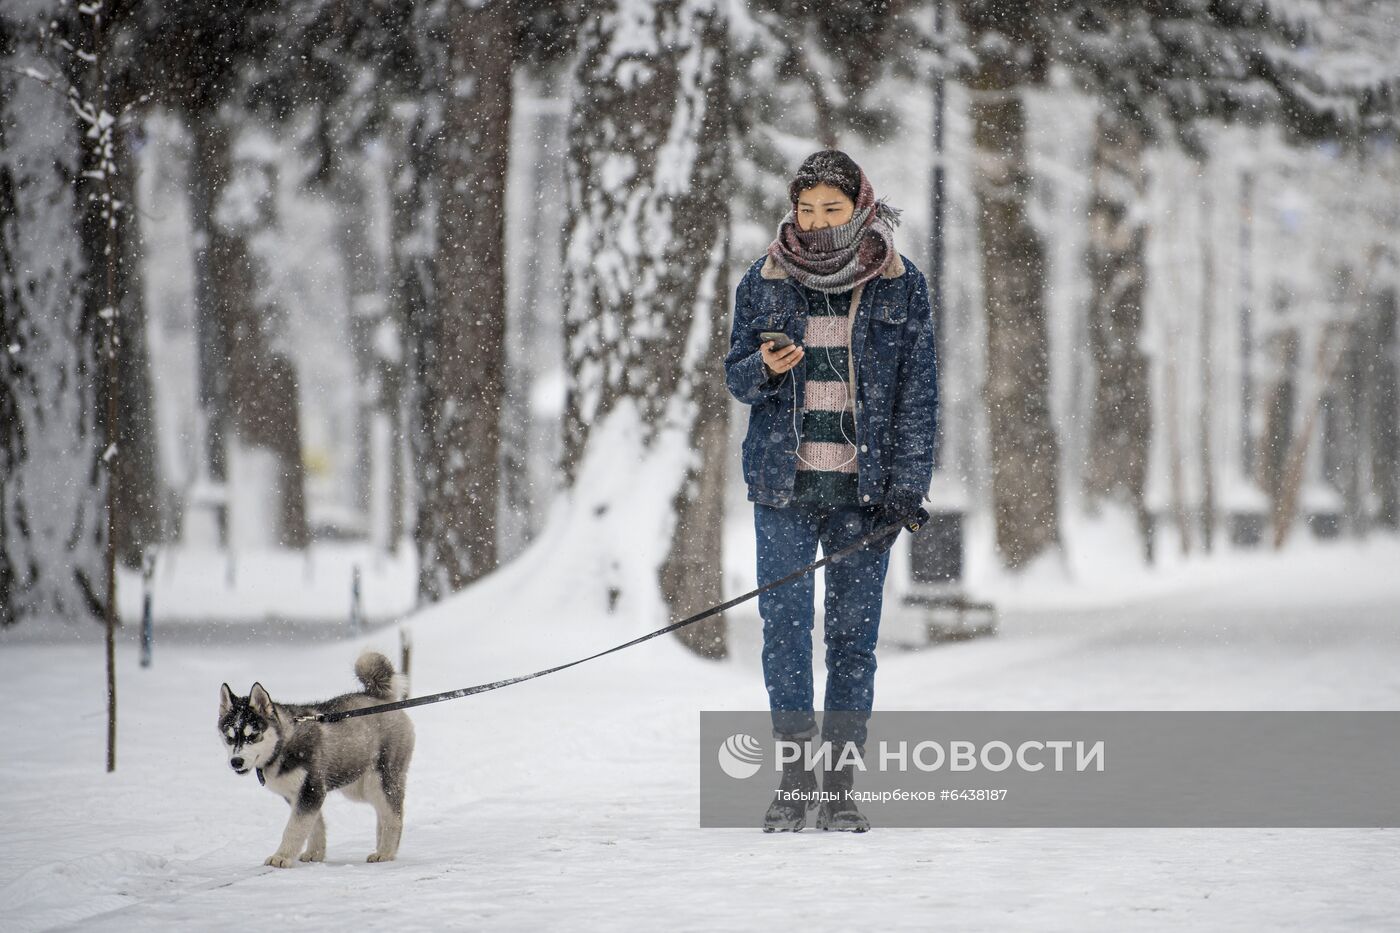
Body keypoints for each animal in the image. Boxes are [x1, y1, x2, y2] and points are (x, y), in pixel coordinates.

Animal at [218, 650, 414, 862]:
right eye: (229, 737)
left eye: (253, 736)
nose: (236, 762)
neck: (282, 747)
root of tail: (379, 696)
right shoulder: (297, 794)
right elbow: (313, 826)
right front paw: (314, 853)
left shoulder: (311, 789)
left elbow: (294, 828)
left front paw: (281, 857)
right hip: (358, 785)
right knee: (381, 810)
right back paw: (381, 846)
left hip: (381, 777)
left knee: (393, 813)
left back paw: (385, 852)